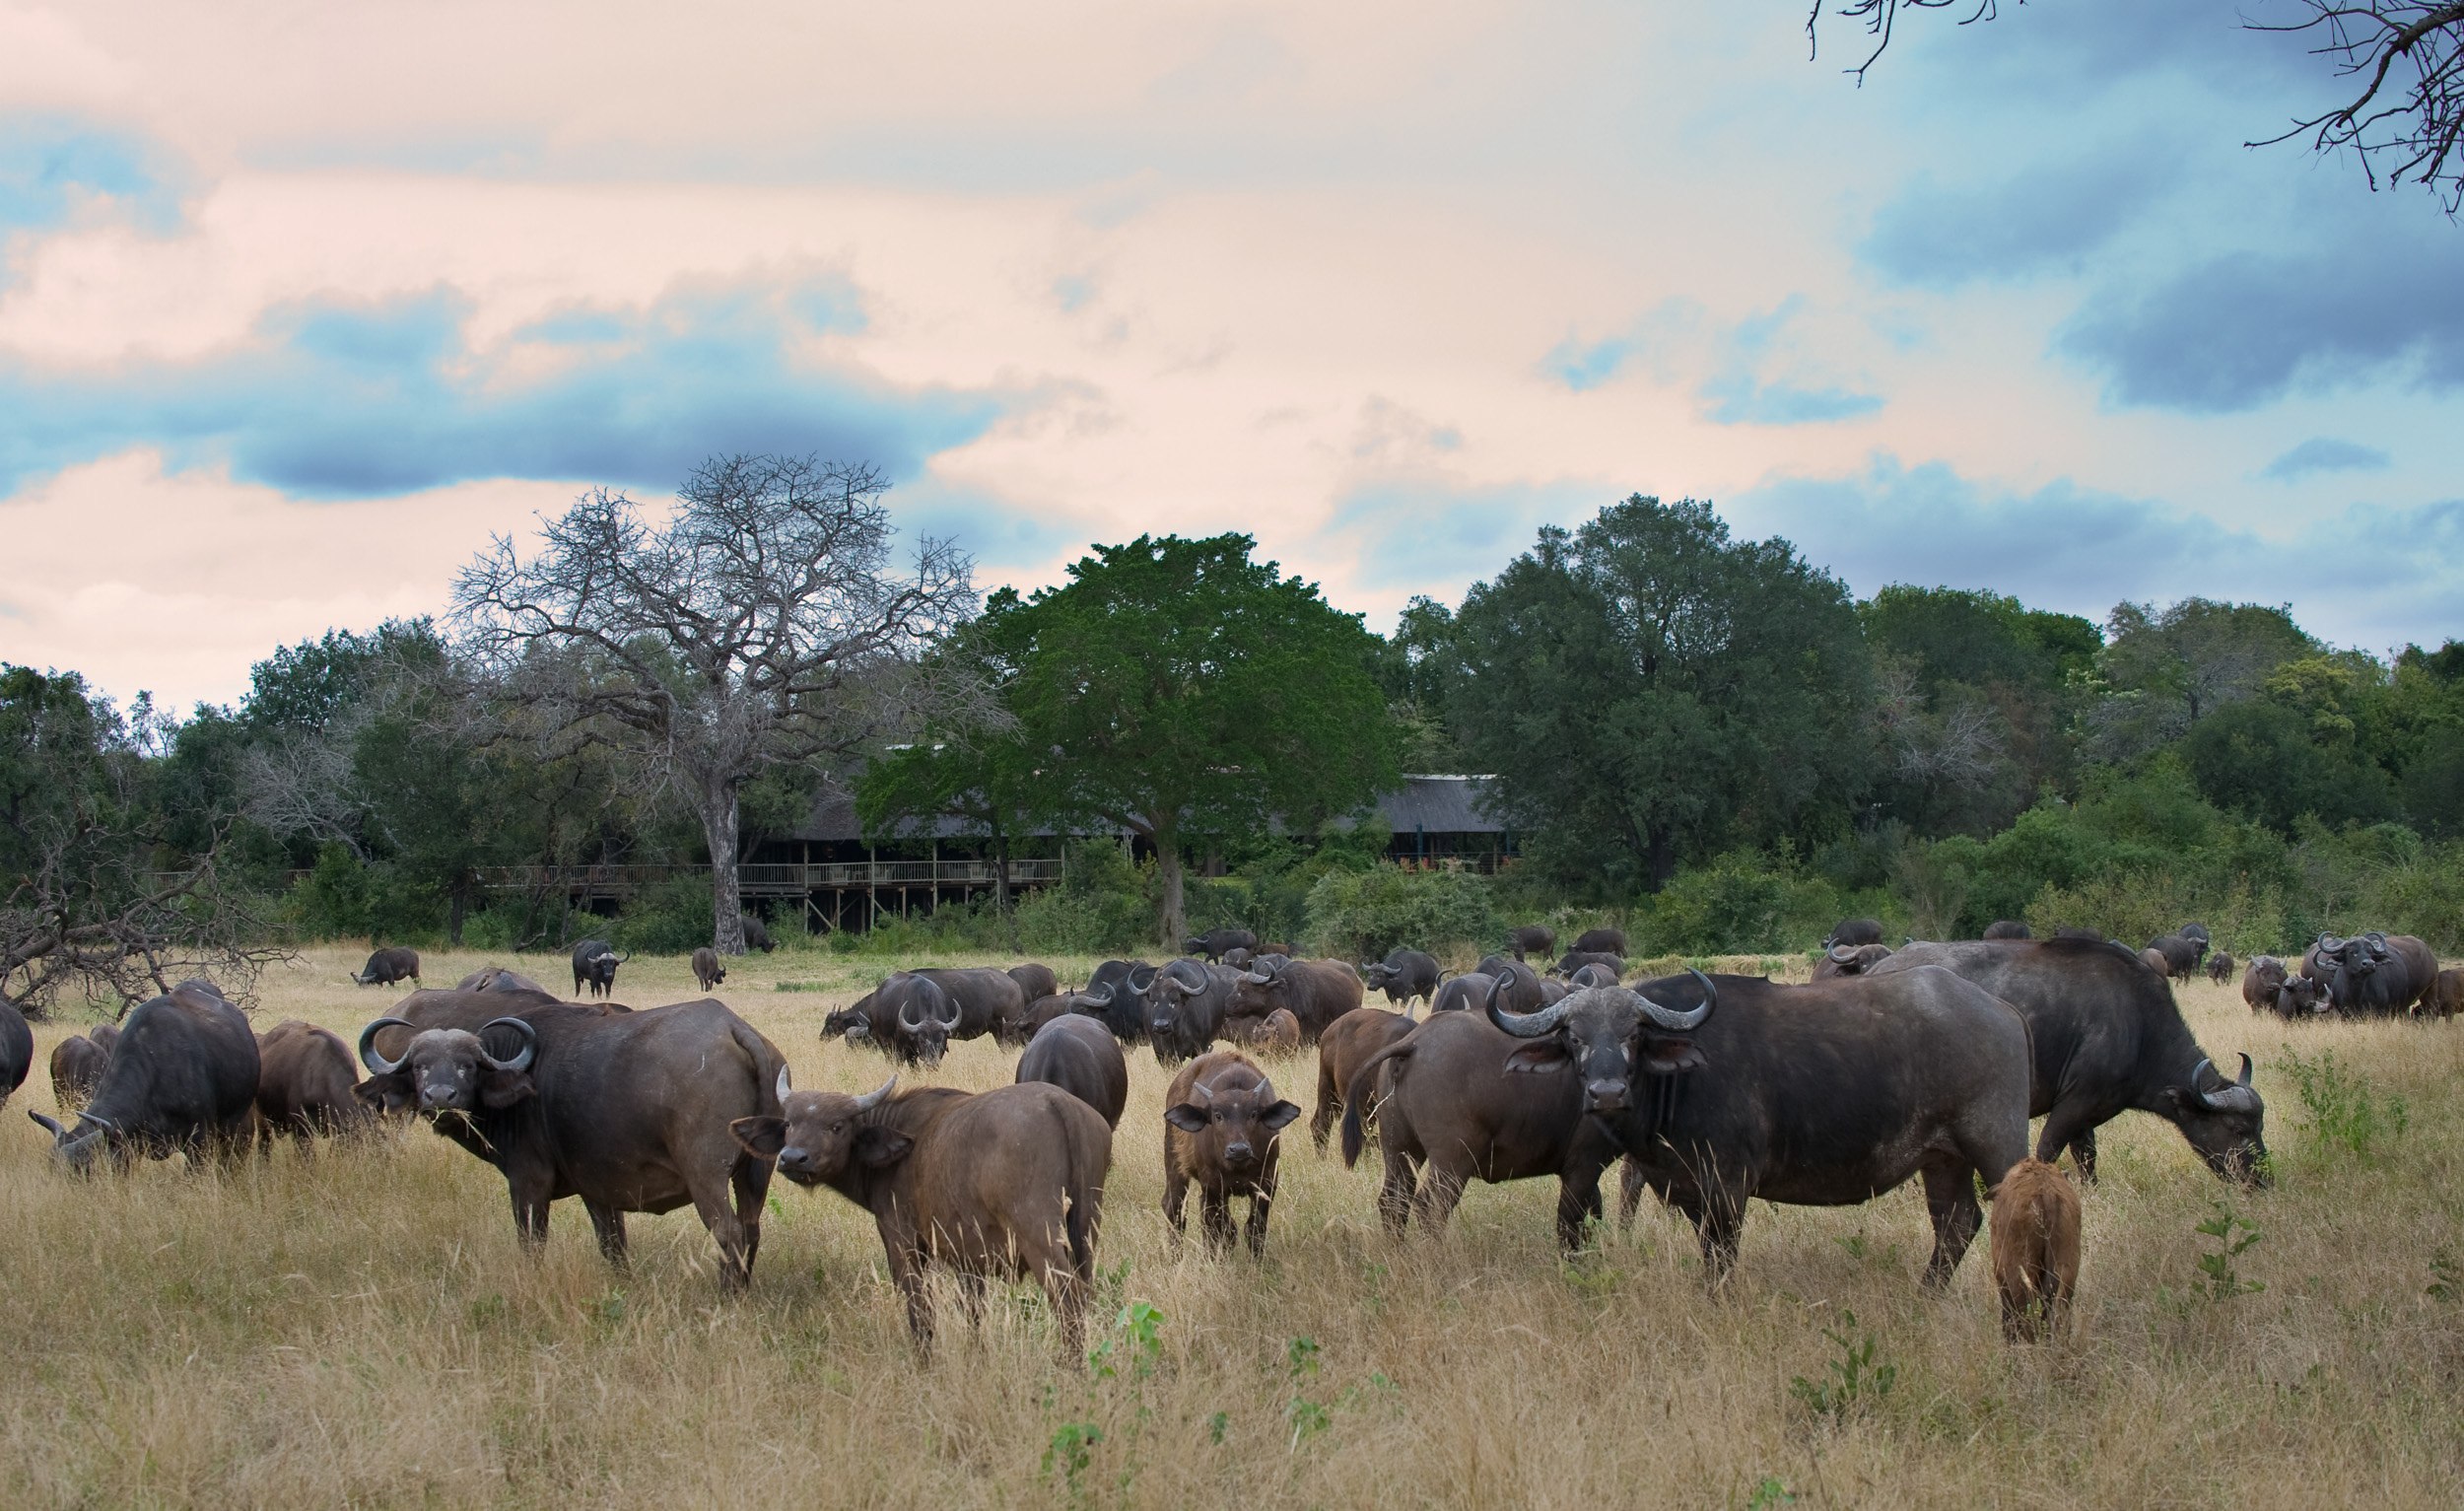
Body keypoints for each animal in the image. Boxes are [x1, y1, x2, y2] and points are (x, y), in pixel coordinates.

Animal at [358, 994, 787, 1290]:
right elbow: (612, 1243)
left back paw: (726, 1295)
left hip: (706, 1176)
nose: (440, 1097)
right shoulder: (597, 1188)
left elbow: (532, 1242)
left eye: (466, 1065)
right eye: (419, 1066)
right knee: (751, 1230)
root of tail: (733, 1028)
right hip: (755, 1173)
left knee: (728, 1232)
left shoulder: (528, 1182)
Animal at [733, 1076, 1109, 1354]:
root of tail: (1057, 1103)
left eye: (837, 1126)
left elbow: (920, 1308)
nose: (793, 1158)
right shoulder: (968, 1259)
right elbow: (972, 1310)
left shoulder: (902, 1241)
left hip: (1038, 1235)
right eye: (789, 1124)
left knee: (1069, 1297)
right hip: (1086, 1228)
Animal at [1162, 1050, 1302, 1257]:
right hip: (1174, 1164)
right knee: (1175, 1208)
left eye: (1253, 1114)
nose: (1239, 1149)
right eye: (1218, 1115)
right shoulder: (1213, 1188)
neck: (1238, 1168)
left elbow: (1253, 1229)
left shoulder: (1266, 1185)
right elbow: (1219, 1230)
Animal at [1872, 940, 2268, 1186]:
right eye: (2237, 1129)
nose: (2262, 1179)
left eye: (2259, 1127)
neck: (2139, 1026)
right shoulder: (2072, 1103)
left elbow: (2087, 1156)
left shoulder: (2087, 1112)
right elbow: (2047, 1151)